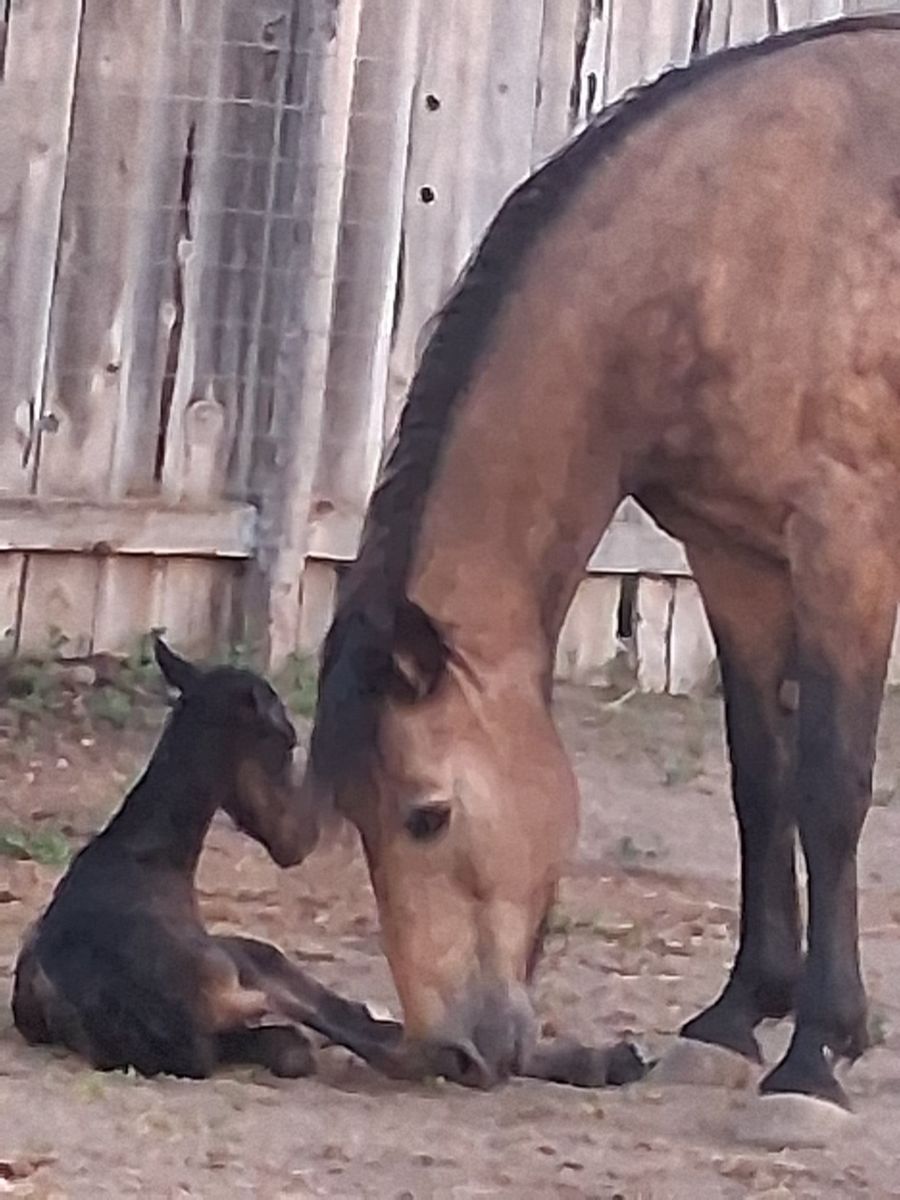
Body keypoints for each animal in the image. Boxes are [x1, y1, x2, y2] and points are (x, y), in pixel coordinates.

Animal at [296, 14, 900, 1113]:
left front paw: (816, 1054)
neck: (736, 236)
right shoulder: (730, 552)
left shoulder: (847, 543)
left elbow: (831, 788)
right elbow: (762, 779)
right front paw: (741, 1014)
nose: (453, 1050)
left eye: (426, 816)